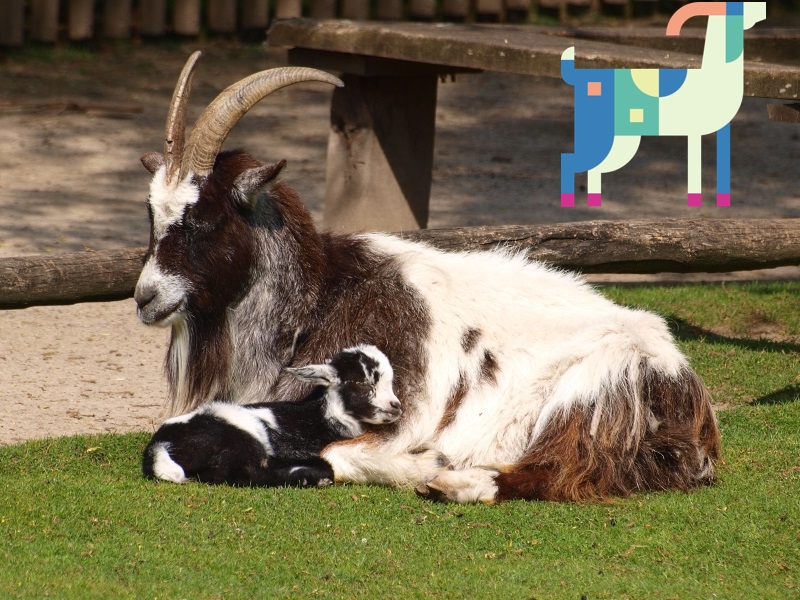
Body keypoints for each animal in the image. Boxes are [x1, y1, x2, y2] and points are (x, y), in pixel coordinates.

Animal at [142, 344, 401, 487]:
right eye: (361, 383)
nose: (395, 406)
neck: (323, 417)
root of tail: (159, 446)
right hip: (240, 436)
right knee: (248, 473)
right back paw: (310, 477)